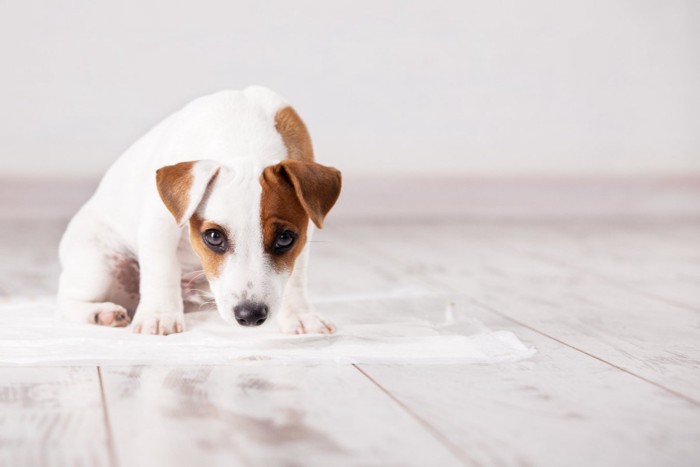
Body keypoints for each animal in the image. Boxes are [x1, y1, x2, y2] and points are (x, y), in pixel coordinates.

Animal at [57, 87, 342, 336]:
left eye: (285, 239)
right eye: (213, 237)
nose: (250, 316)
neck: (244, 140)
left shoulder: (305, 233)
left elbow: (296, 278)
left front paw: (300, 315)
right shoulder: (160, 221)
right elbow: (162, 268)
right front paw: (159, 316)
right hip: (98, 265)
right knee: (64, 301)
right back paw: (101, 313)